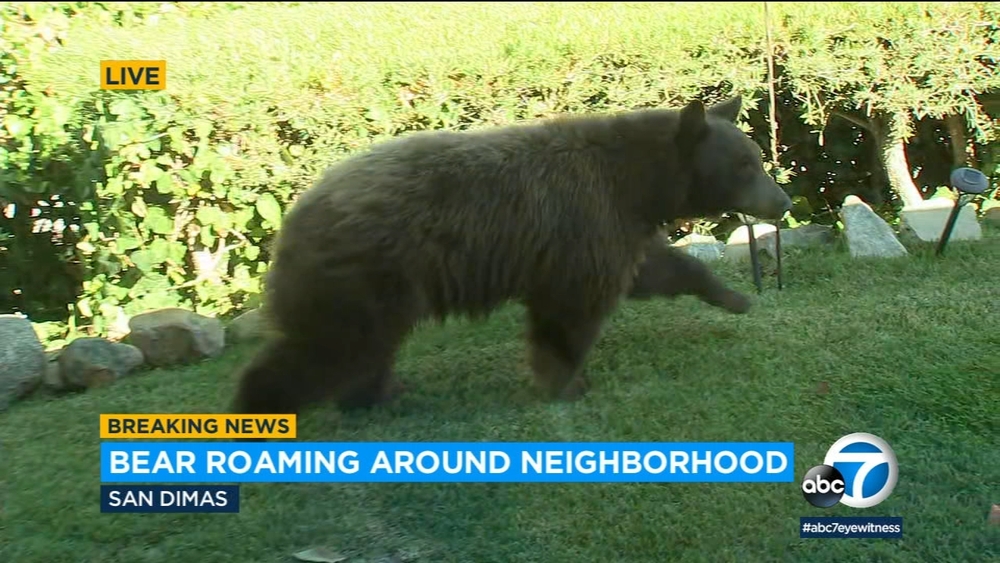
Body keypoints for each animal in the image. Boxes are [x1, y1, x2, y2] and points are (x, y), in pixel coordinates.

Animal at [229, 95, 792, 416]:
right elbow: (571, 311)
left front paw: (734, 297)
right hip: (364, 271)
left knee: (363, 350)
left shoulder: (613, 229)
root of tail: (294, 215)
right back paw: (259, 406)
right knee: (327, 347)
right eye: (746, 164)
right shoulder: (581, 224)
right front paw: (568, 382)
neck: (639, 184)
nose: (783, 201)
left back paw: (377, 394)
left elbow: (657, 268)